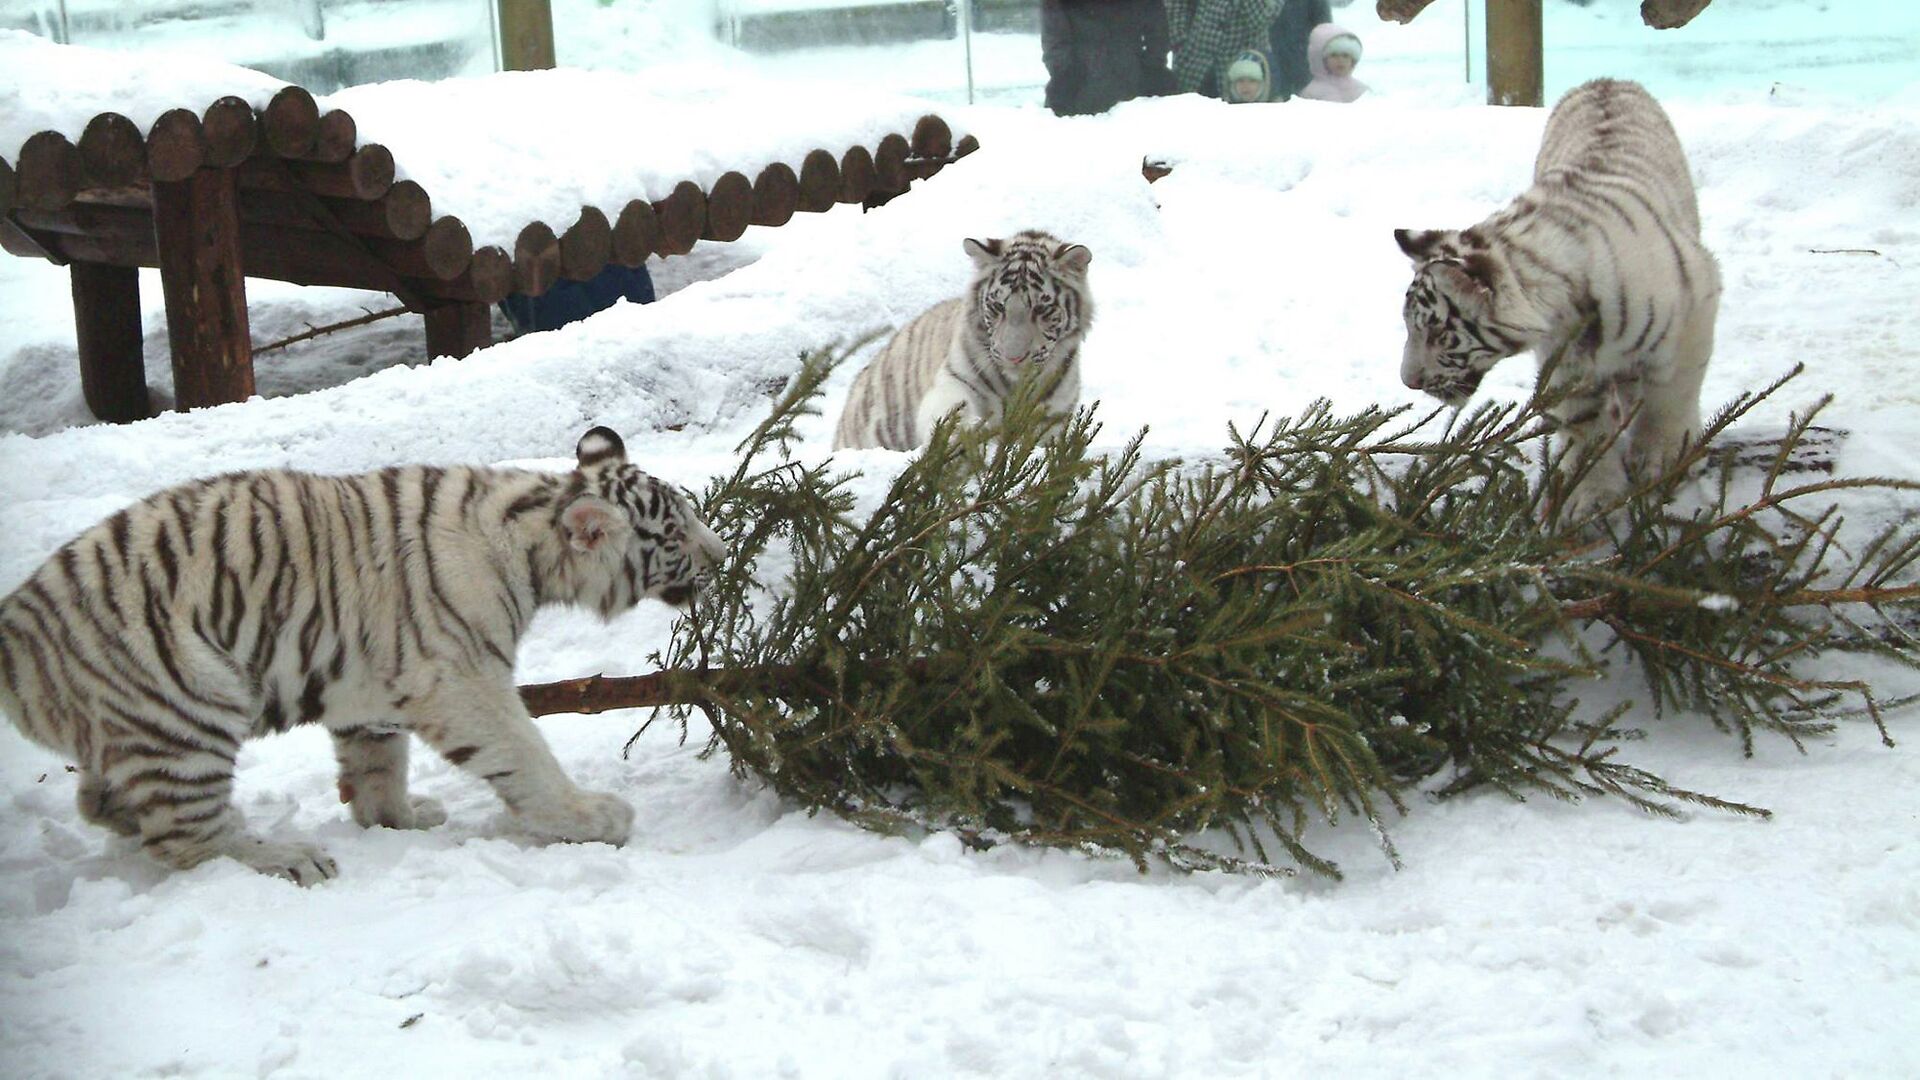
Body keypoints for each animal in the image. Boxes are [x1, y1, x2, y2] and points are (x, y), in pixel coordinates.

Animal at [0, 428, 725, 883]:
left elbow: (379, 766)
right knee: (183, 837)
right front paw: (590, 817)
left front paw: (398, 820)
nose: (719, 555)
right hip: (190, 705)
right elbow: (525, 752)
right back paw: (289, 859)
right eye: (674, 535)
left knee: (105, 800)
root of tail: (16, 628)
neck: (530, 529)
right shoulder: (459, 678)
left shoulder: (370, 686)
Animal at [829, 226, 1098, 449]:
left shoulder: (1053, 413)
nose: (1013, 358)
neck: (1014, 386)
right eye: (998, 306)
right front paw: (961, 441)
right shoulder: (955, 380)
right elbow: (952, 411)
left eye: (1041, 309)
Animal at [1390, 75, 1720, 518]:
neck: (1571, 313)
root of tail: (1606, 80)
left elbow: (1670, 395)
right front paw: (1590, 495)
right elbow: (1584, 424)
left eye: (1439, 335)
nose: (1409, 382)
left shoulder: (1696, 303)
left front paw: (1662, 458)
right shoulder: (1564, 367)